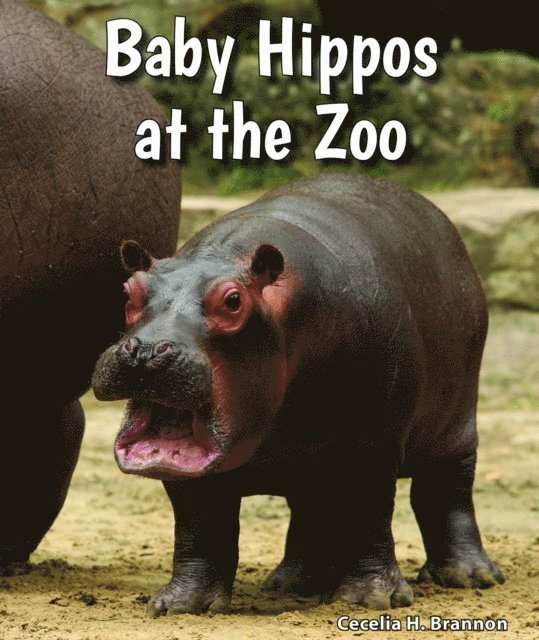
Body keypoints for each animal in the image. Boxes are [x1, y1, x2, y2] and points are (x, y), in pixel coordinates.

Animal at [92, 173, 504, 614]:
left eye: (233, 301)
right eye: (128, 292)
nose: (146, 349)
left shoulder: (373, 442)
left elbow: (368, 509)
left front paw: (370, 599)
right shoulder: (188, 474)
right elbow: (199, 525)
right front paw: (180, 604)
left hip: (456, 424)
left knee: (448, 492)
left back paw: (470, 577)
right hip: (311, 464)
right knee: (311, 509)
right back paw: (292, 584)